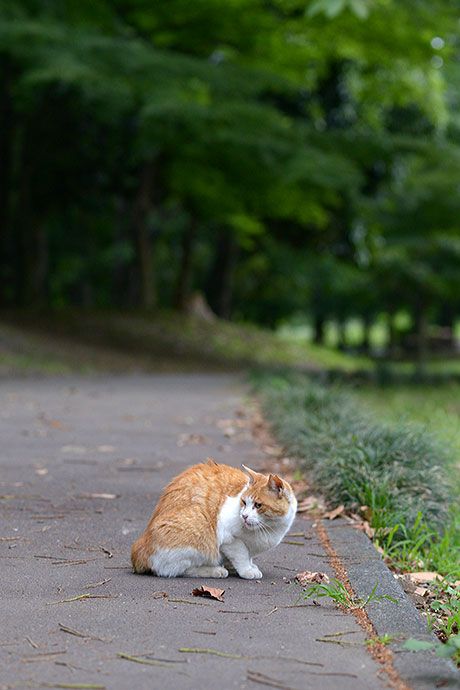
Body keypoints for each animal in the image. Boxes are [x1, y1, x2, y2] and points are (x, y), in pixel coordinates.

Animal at [131, 460, 296, 576]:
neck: (269, 527)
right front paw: (247, 570)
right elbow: (242, 555)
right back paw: (215, 570)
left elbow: (248, 556)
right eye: (244, 502)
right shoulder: (230, 539)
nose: (244, 515)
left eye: (258, 505)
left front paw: (251, 565)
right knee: (177, 570)